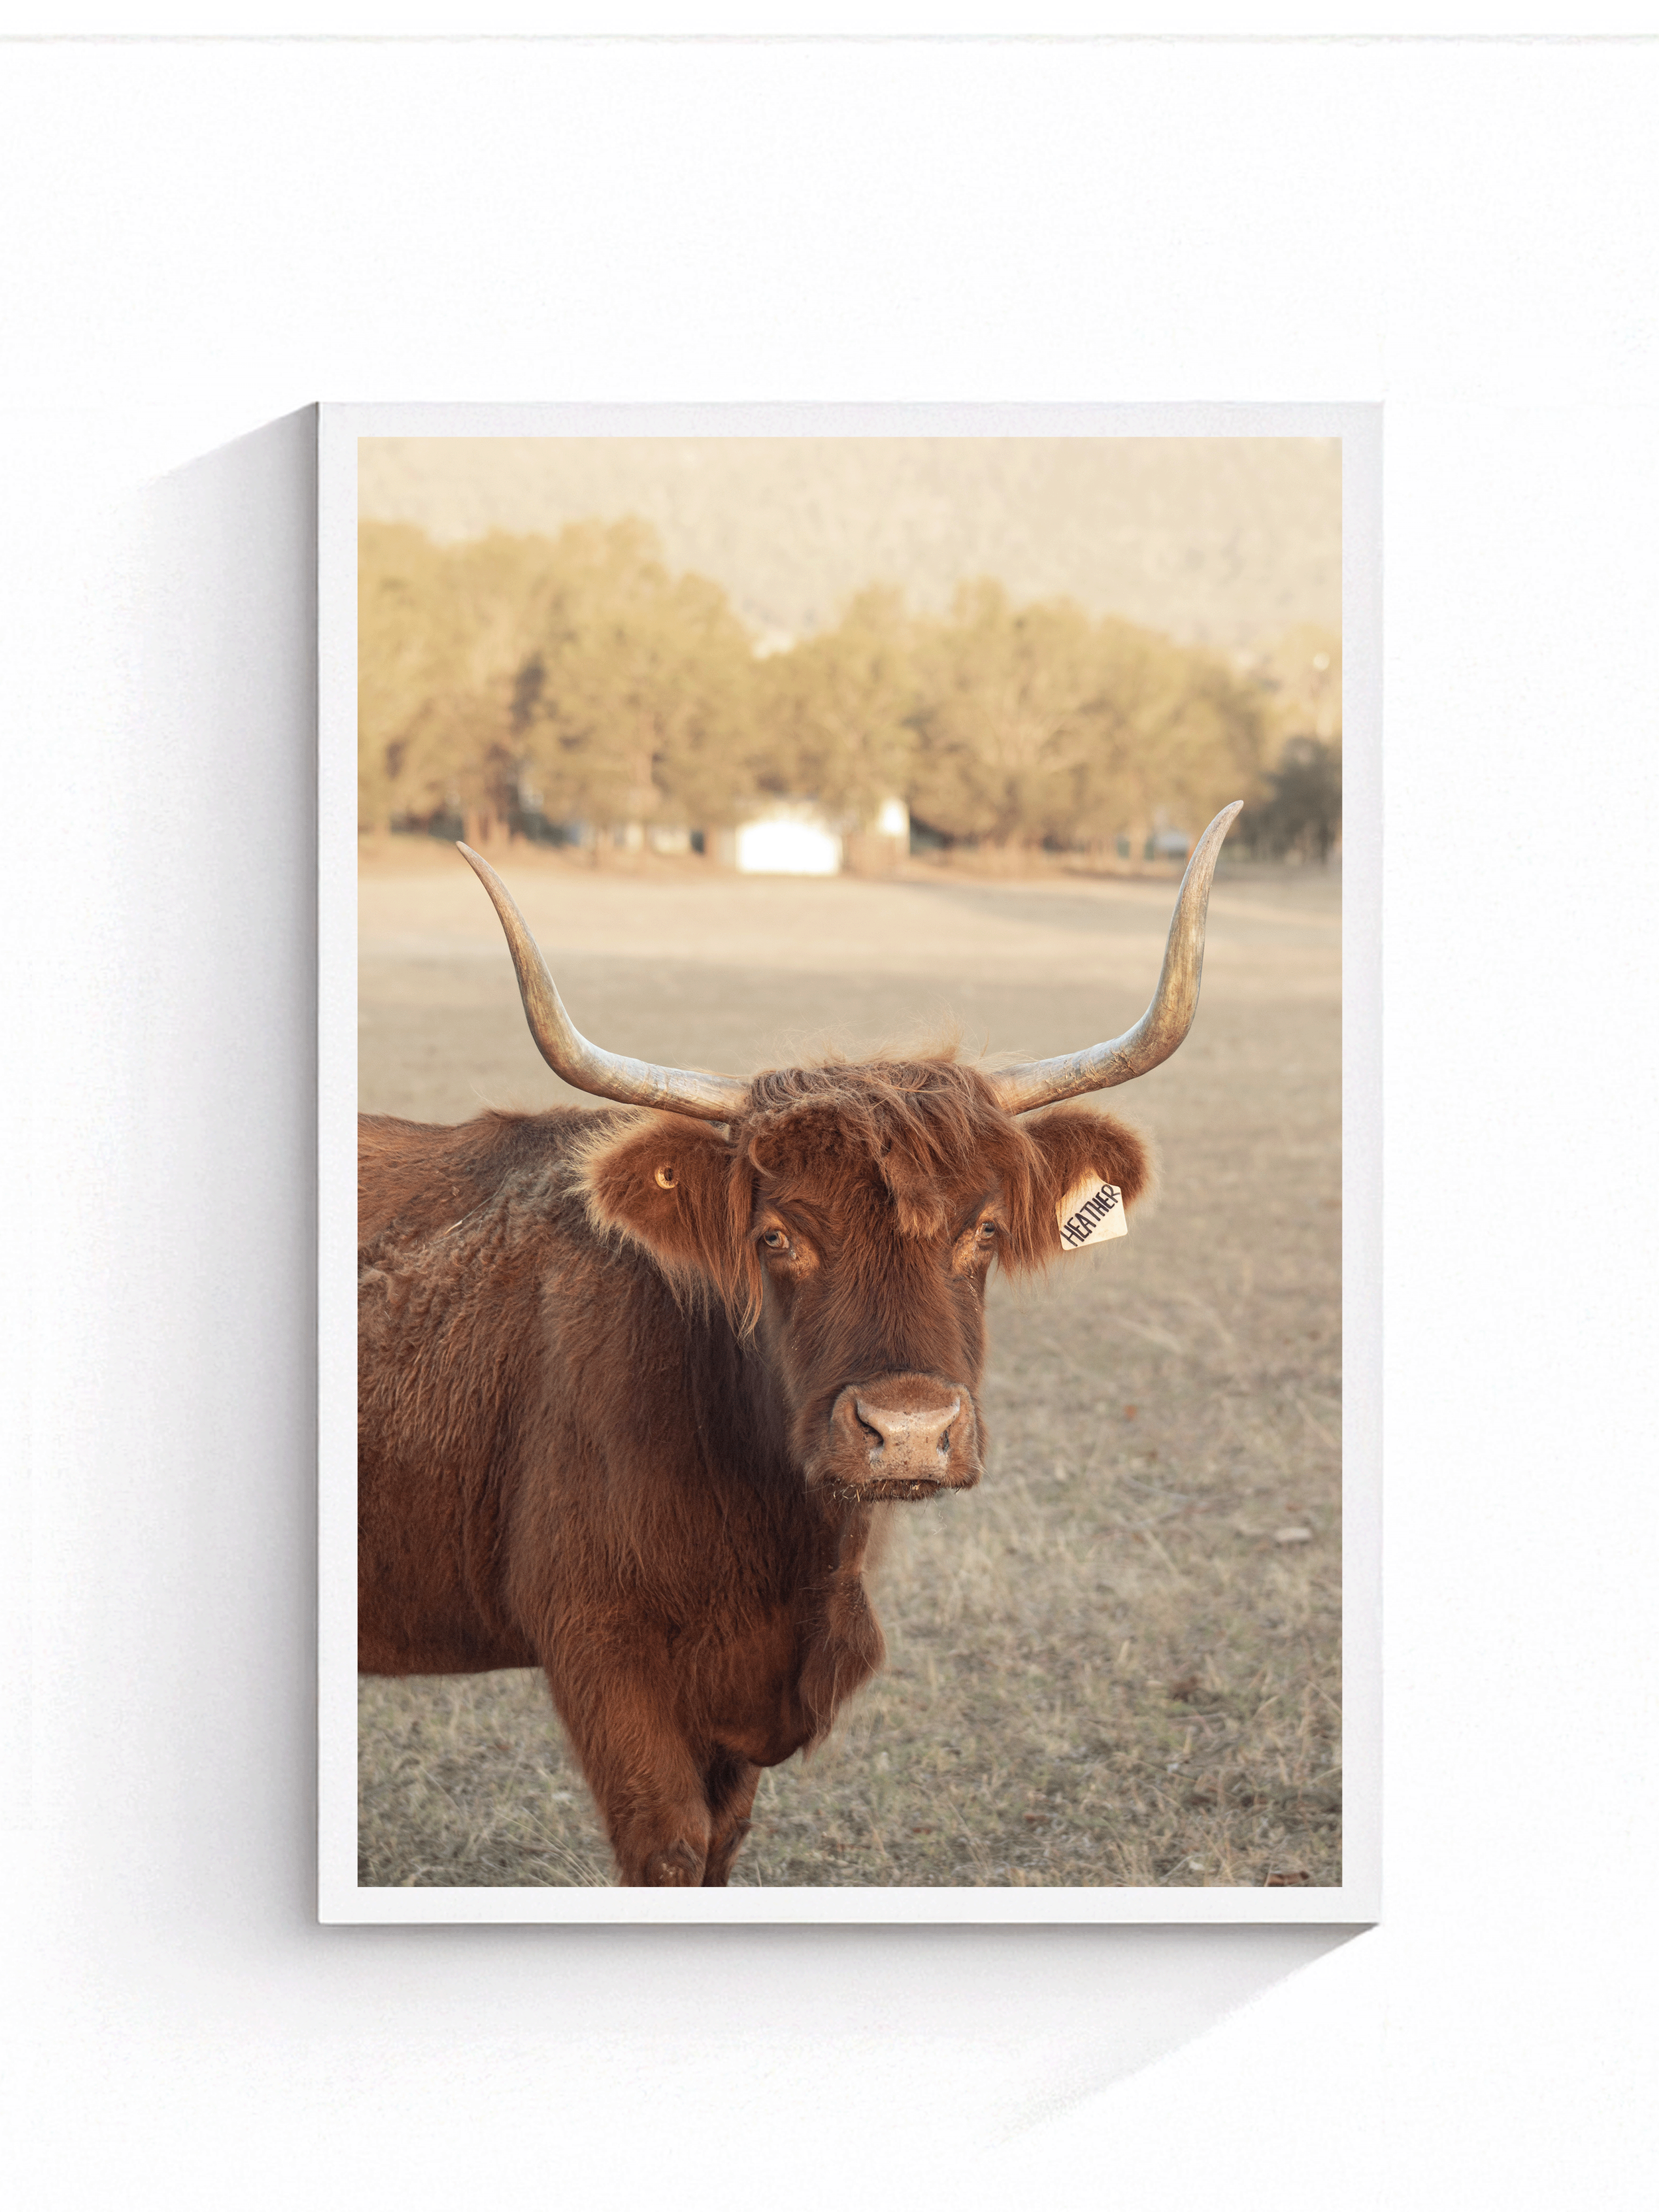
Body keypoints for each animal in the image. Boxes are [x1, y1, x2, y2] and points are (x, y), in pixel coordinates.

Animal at [359, 802, 1241, 1886]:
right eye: (776, 1237)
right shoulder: (605, 1662)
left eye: (986, 1230)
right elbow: (669, 1850)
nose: (908, 1433)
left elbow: (719, 1848)